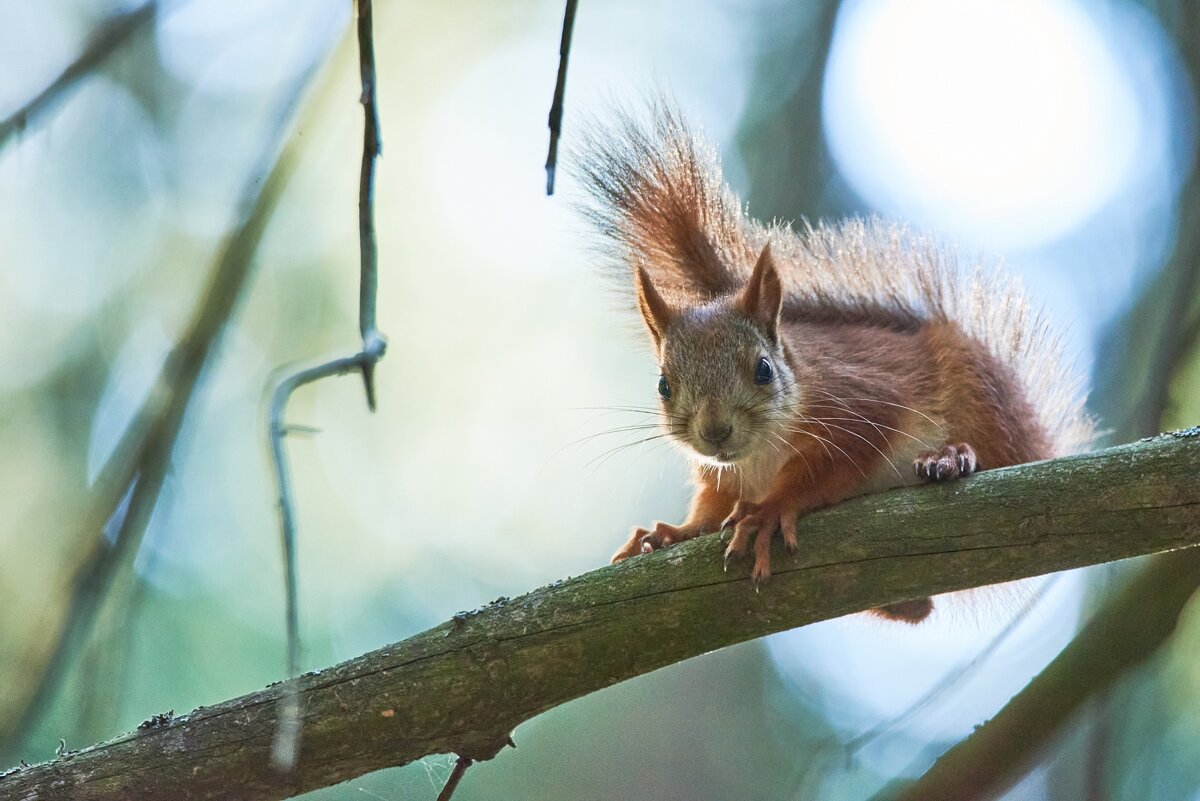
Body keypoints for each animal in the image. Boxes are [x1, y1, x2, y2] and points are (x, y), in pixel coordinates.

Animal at [576, 103, 1094, 623]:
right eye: (664, 385)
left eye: (763, 369)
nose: (715, 432)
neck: (760, 455)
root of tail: (1036, 440)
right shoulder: (722, 475)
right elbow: (710, 507)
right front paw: (673, 533)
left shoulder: (858, 407)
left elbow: (827, 468)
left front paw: (770, 510)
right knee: (917, 609)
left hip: (981, 399)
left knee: (994, 453)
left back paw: (950, 458)